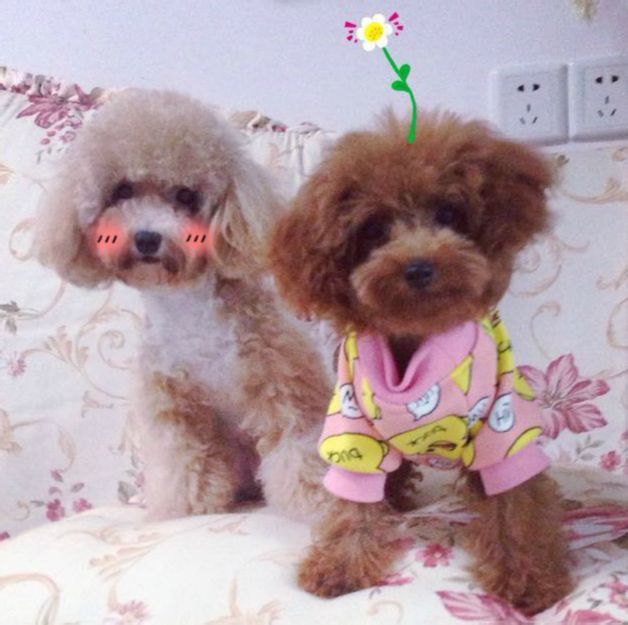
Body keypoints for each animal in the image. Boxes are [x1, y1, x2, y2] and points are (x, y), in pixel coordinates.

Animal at [35, 89, 334, 521]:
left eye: (186, 196)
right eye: (122, 191)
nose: (147, 238)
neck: (188, 311)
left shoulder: (280, 382)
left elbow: (298, 449)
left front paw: (319, 502)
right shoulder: (175, 405)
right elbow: (187, 460)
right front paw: (184, 509)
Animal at [269, 111, 573, 615]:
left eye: (448, 213)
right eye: (374, 229)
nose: (418, 267)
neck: (415, 340)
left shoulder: (501, 429)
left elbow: (514, 506)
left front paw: (528, 579)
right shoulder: (352, 431)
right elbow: (352, 505)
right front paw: (339, 565)